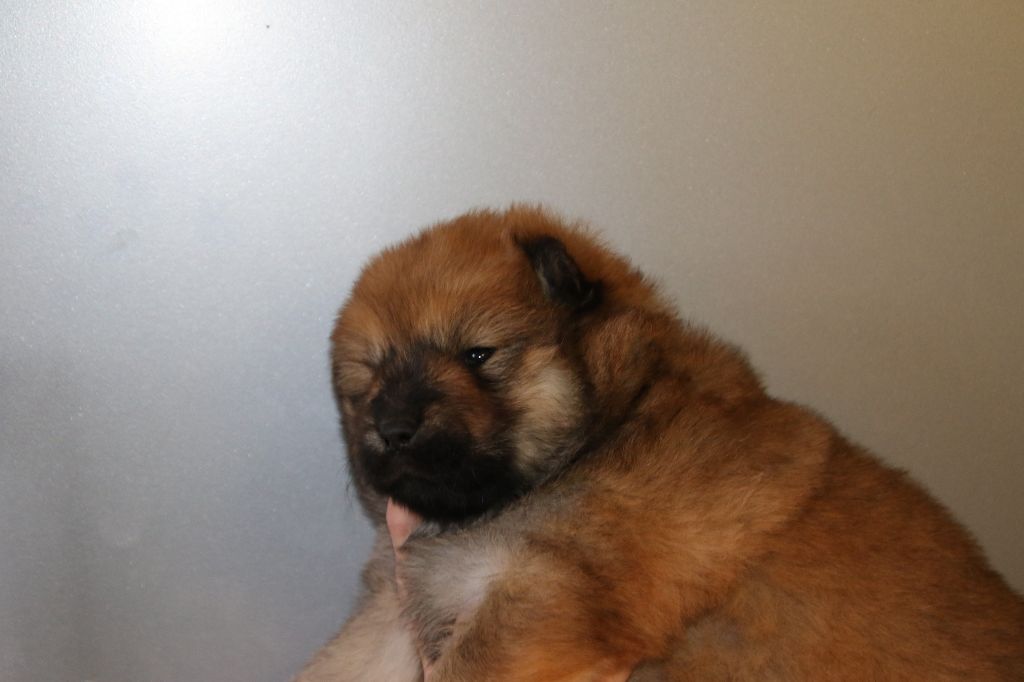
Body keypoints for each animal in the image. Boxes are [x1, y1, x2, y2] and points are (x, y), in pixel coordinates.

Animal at [296, 207, 1024, 681]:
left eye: (477, 354)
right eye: (370, 378)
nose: (391, 427)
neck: (605, 432)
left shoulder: (543, 603)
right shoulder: (400, 606)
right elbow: (341, 663)